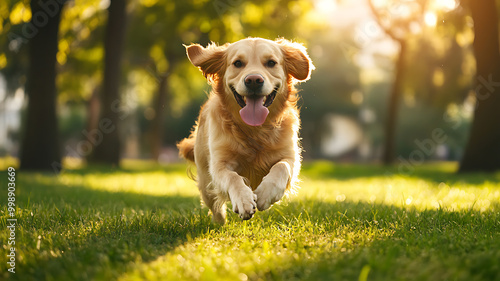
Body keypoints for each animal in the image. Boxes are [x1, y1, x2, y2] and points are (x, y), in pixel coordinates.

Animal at [178, 37, 314, 222]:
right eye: (237, 63)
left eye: (271, 63)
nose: (254, 80)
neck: (255, 130)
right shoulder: (219, 164)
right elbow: (233, 177)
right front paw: (243, 201)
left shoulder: (291, 157)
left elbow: (282, 167)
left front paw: (265, 194)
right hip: (205, 180)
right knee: (214, 205)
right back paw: (220, 222)